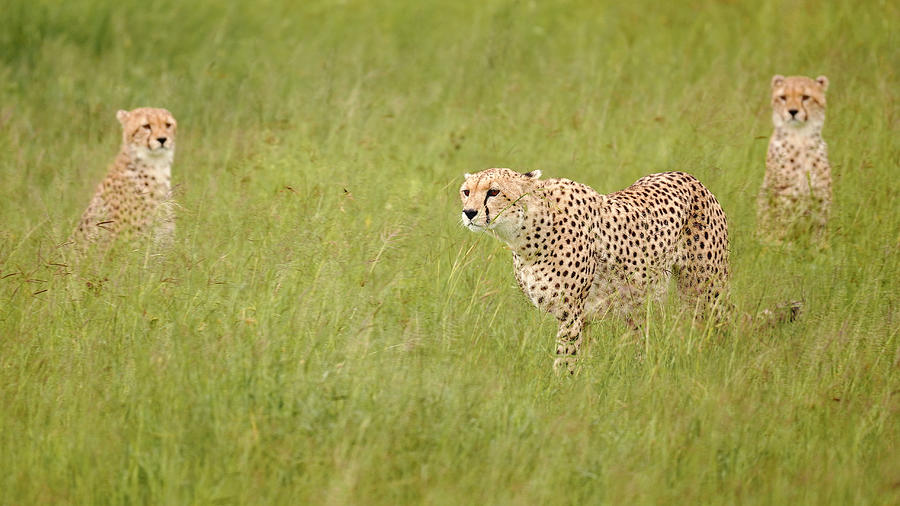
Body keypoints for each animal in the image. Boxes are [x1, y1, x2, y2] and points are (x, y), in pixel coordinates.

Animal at [460, 170, 728, 372]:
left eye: (494, 191)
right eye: (466, 192)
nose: (469, 213)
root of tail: (688, 176)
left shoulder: (570, 311)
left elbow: (565, 356)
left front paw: (559, 391)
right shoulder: (581, 314)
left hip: (707, 290)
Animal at [756, 74, 832, 242]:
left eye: (805, 97)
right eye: (783, 97)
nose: (792, 111)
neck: (800, 138)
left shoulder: (820, 198)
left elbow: (819, 234)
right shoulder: (784, 195)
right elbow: (781, 227)